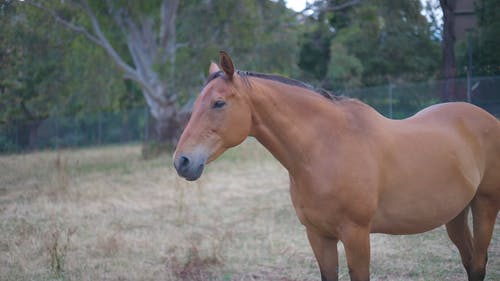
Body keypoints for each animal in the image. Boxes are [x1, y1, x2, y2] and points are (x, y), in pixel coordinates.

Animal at [173, 51, 500, 278]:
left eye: (219, 103)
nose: (182, 162)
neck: (325, 149)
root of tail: (487, 118)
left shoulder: (356, 236)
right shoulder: (319, 236)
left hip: (485, 204)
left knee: (478, 263)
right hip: (455, 213)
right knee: (470, 262)